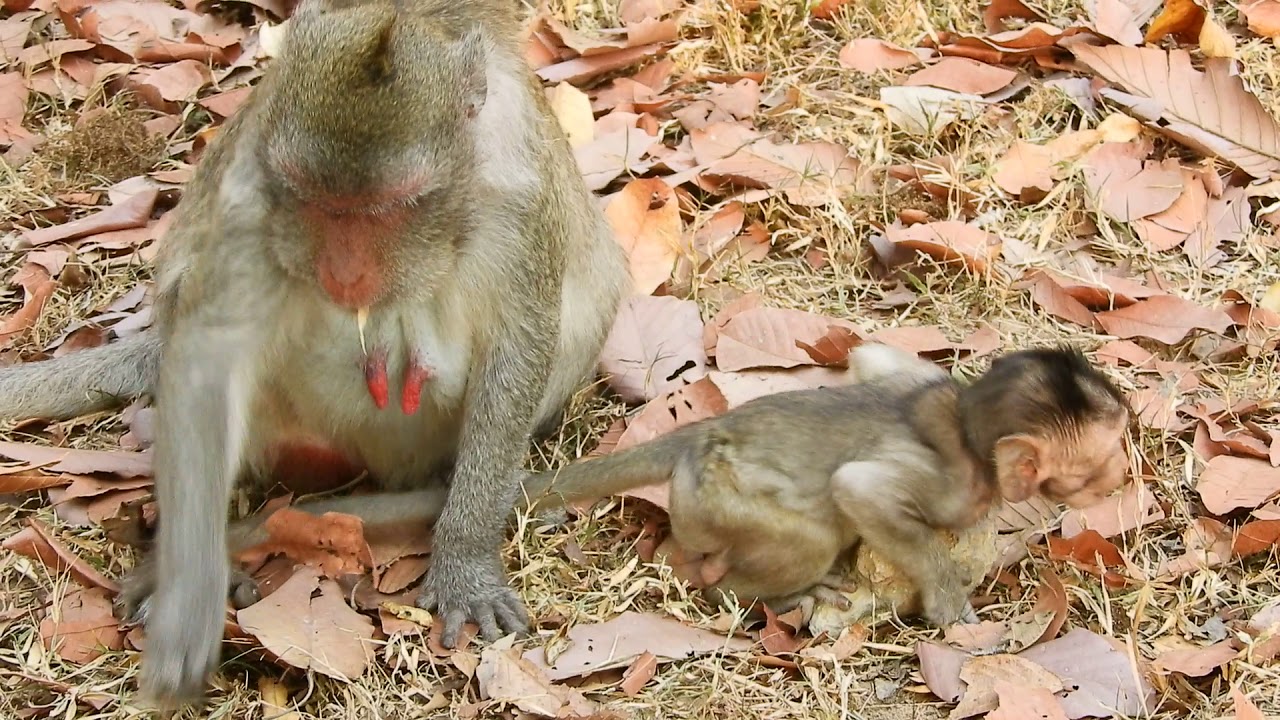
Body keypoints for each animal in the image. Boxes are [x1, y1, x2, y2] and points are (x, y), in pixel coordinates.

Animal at [0, 0, 629, 706]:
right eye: (313, 199)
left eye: (390, 207)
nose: (343, 273)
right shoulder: (255, 192)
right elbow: (211, 352)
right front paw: (189, 600)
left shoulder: (517, 198)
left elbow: (518, 345)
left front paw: (465, 556)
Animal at [214, 344, 1131, 628]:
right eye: (1104, 464)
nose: (1130, 473)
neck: (969, 429)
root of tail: (693, 435)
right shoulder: (952, 483)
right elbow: (863, 489)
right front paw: (946, 596)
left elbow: (871, 364)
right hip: (717, 495)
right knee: (806, 531)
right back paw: (753, 589)